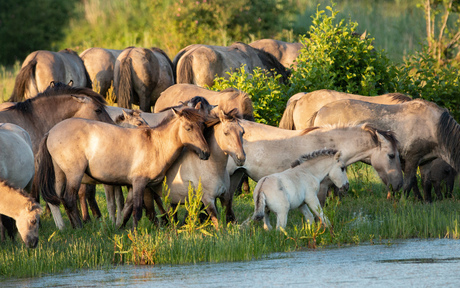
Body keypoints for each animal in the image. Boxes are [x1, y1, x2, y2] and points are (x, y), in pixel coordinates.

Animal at [35, 107, 209, 230]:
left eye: (202, 126)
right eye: (188, 128)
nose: (206, 153)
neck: (156, 144)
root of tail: (50, 131)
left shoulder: (133, 185)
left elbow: (127, 208)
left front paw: (120, 228)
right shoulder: (140, 183)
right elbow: (137, 209)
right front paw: (135, 232)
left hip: (59, 174)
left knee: (57, 200)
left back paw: (65, 227)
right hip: (74, 174)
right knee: (69, 199)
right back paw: (78, 227)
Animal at [224, 120, 402, 222]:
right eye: (391, 155)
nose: (398, 184)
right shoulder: (320, 189)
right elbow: (319, 210)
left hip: (236, 175)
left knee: (228, 200)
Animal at [308, 98, 460, 199]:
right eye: (448, 171)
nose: (449, 195)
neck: (433, 126)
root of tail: (320, 110)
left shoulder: (425, 161)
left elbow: (425, 183)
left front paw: (426, 202)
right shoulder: (412, 159)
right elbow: (409, 182)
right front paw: (404, 202)